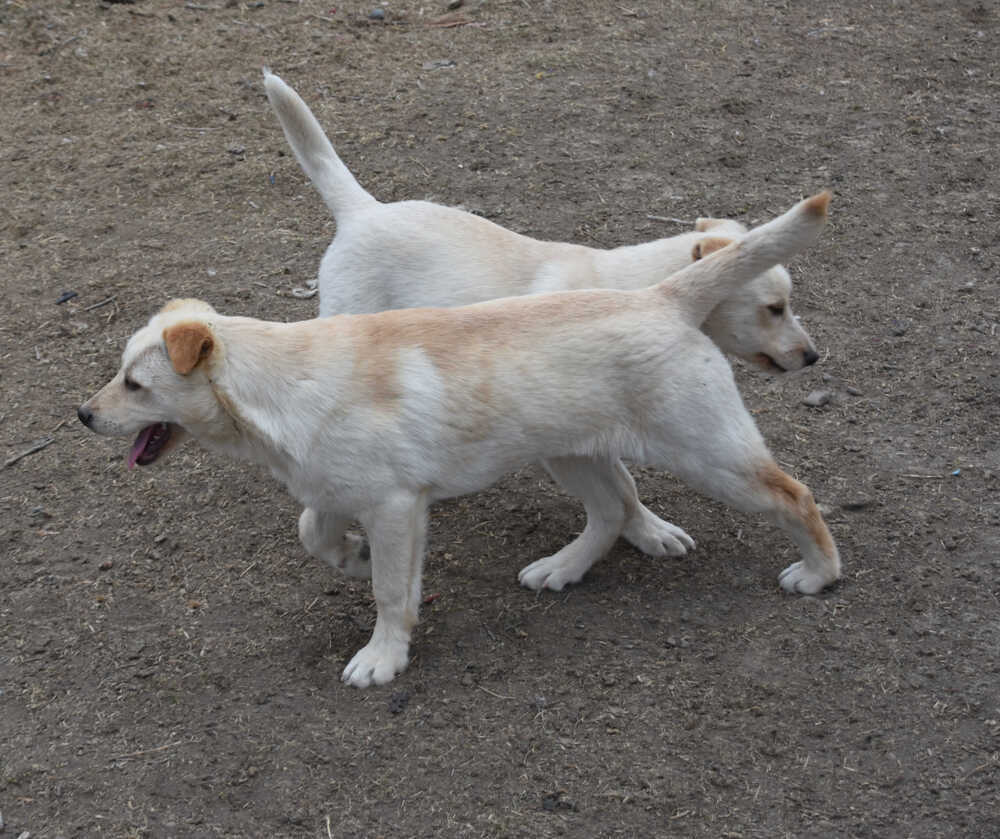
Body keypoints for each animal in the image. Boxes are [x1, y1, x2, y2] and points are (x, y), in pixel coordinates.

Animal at [80, 192, 844, 688]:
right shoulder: (339, 488)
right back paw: (562, 568)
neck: (281, 380)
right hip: (571, 453)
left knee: (796, 495)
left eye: (135, 384)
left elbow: (390, 592)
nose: (83, 415)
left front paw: (382, 657)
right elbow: (314, 534)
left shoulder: (394, 504)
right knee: (612, 510)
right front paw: (351, 558)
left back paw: (818, 574)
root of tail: (661, 296)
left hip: (708, 456)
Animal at [264, 74, 820, 592]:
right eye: (775, 308)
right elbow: (623, 488)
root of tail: (364, 210)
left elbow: (622, 488)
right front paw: (641, 532)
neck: (634, 285)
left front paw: (646, 532)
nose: (813, 356)